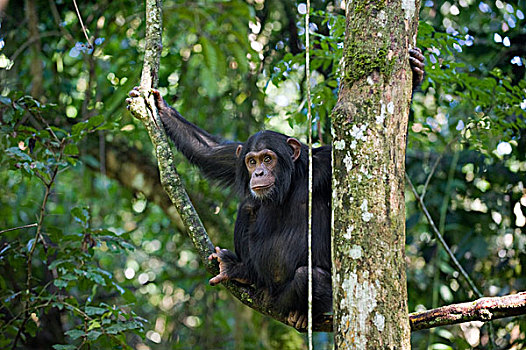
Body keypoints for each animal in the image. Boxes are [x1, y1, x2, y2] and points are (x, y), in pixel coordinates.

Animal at [127, 48, 424, 328]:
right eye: (252, 161)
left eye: (268, 159)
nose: (258, 172)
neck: (290, 183)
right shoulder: (235, 158)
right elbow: (208, 151)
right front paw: (161, 106)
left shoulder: (327, 163)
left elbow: (388, 151)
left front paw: (416, 71)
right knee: (249, 206)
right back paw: (242, 273)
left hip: (286, 298)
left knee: (307, 278)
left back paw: (300, 313)